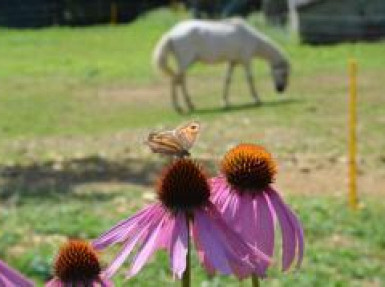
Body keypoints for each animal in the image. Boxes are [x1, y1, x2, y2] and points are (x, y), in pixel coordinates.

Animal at [152, 18, 290, 113]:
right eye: (284, 73)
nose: (280, 89)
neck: (249, 37)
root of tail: (171, 33)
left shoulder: (232, 62)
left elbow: (227, 80)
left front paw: (225, 103)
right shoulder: (246, 61)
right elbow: (250, 79)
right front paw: (257, 100)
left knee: (180, 80)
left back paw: (189, 105)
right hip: (186, 62)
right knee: (176, 80)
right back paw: (180, 107)